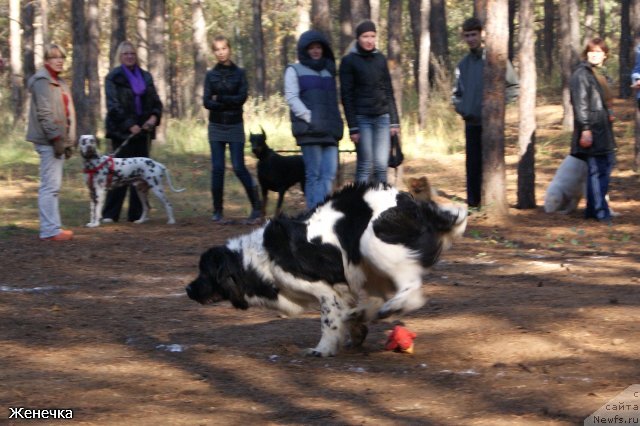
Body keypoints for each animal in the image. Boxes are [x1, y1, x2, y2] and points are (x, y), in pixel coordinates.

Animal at [188, 183, 468, 356]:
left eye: (205, 273)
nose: (188, 289)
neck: (258, 259)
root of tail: (415, 204)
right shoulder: (342, 289)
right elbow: (345, 314)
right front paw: (356, 328)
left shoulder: (325, 290)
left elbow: (328, 321)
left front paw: (322, 349)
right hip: (366, 263)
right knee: (383, 295)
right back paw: (363, 313)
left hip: (372, 241)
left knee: (412, 289)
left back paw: (389, 308)